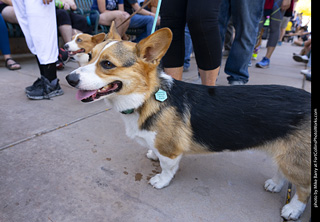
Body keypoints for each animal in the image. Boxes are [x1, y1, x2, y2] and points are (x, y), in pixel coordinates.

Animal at [66, 22, 312, 220]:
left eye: (107, 64)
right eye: (90, 56)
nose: (69, 79)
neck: (145, 98)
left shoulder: (170, 151)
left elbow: (167, 167)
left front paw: (161, 180)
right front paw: (151, 153)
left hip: (295, 161)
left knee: (304, 187)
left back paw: (293, 209)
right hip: (285, 154)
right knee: (282, 171)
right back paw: (275, 184)